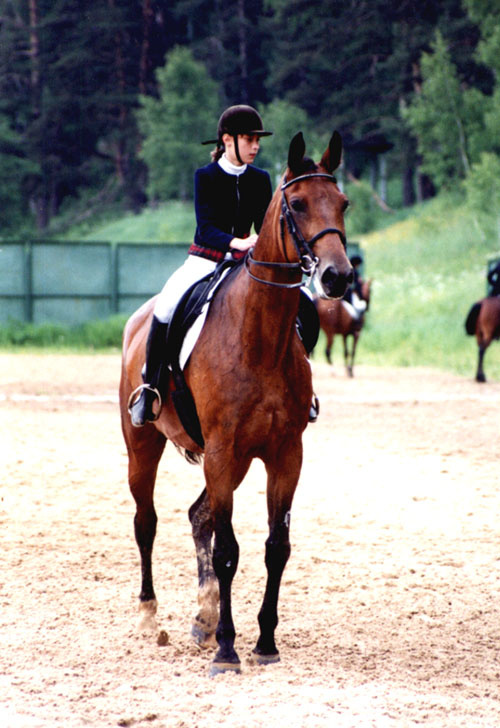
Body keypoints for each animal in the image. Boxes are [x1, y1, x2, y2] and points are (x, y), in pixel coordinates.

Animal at [119, 130, 353, 676]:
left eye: (343, 204)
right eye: (297, 204)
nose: (337, 278)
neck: (259, 338)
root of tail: (138, 319)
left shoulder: (284, 454)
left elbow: (276, 547)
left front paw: (265, 642)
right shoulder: (223, 451)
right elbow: (228, 550)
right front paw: (227, 650)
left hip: (238, 460)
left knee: (197, 516)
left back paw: (203, 617)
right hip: (145, 446)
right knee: (147, 522)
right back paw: (149, 616)